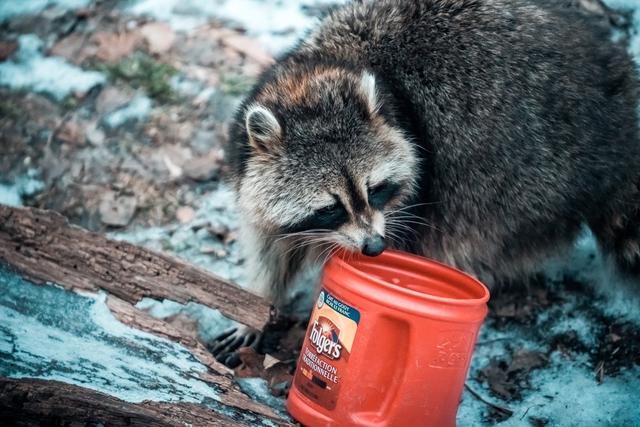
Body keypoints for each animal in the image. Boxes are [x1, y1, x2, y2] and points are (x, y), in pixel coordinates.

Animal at [211, 0, 640, 364]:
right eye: (330, 207)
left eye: (374, 190)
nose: (374, 247)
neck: (315, 80)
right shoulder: (250, 170)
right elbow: (270, 247)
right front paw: (256, 303)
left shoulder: (416, 193)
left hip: (526, 168)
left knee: (476, 225)